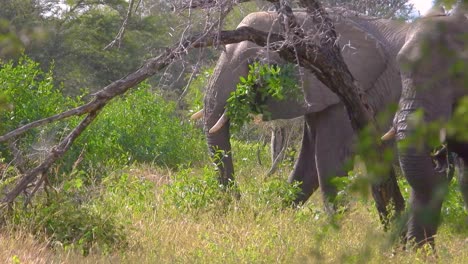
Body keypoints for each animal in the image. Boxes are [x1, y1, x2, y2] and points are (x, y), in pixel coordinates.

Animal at [197, 9, 410, 214]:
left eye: (256, 63)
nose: (237, 204)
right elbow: (308, 164)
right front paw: (280, 214)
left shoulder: (348, 95)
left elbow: (331, 159)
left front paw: (335, 223)